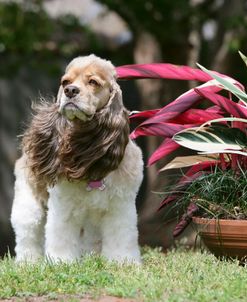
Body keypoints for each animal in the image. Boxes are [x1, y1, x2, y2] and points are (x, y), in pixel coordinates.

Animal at [11, 55, 143, 264]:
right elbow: (61, 237)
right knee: (27, 234)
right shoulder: (63, 207)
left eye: (93, 82)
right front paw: (60, 262)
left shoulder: (120, 207)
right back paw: (27, 262)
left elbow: (121, 238)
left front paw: (123, 262)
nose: (70, 91)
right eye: (65, 82)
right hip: (28, 205)